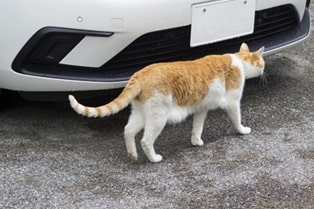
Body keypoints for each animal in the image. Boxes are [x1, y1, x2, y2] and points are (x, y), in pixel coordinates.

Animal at [68, 42, 264, 163]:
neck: (239, 61)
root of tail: (141, 73)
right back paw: (154, 159)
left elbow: (197, 126)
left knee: (128, 130)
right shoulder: (232, 102)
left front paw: (196, 141)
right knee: (146, 140)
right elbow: (237, 119)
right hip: (158, 116)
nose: (264, 70)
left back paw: (132, 155)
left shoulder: (202, 108)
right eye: (262, 62)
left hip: (140, 112)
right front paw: (242, 130)